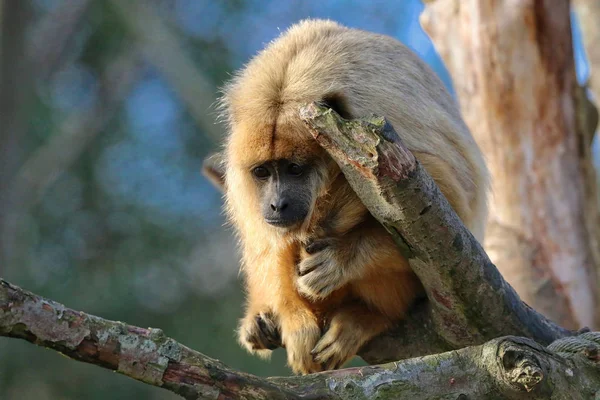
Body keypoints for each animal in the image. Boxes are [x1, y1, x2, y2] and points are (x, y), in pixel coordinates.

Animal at [218, 18, 490, 376]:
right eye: (263, 172)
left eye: (294, 169)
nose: (277, 203)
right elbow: (263, 241)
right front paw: (293, 320)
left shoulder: (380, 123)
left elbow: (456, 213)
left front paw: (341, 258)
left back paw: (368, 317)